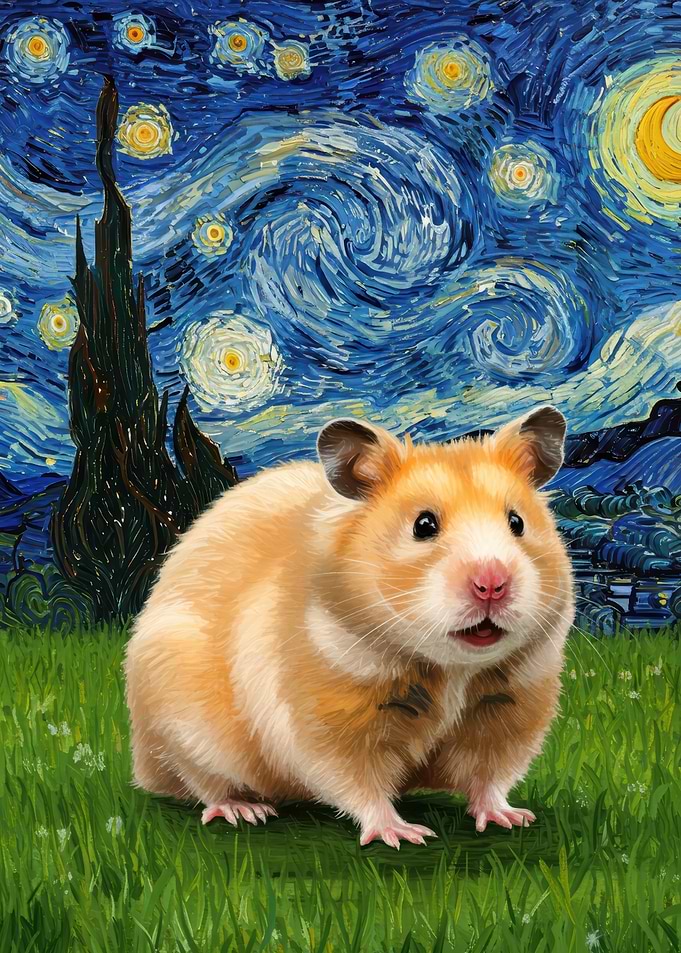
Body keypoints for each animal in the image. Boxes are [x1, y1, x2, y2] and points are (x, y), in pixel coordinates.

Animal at [125, 405, 574, 848]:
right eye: (424, 525)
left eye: (516, 522)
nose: (492, 584)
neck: (453, 670)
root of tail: (142, 760)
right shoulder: (327, 721)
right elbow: (359, 784)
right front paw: (402, 835)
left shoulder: (508, 709)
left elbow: (489, 778)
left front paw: (510, 819)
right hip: (179, 712)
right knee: (200, 779)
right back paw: (243, 810)